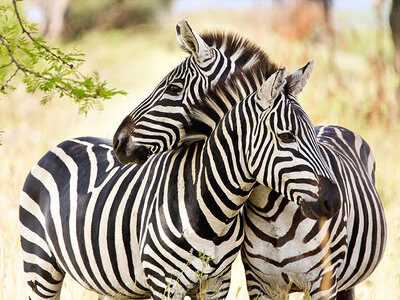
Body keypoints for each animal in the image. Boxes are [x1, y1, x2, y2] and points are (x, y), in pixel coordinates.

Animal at [19, 64, 338, 298]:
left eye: (312, 133)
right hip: (40, 267)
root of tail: (63, 143)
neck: (213, 211)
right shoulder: (164, 284)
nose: (332, 200)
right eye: (286, 136)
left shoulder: (216, 283)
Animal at [111, 22, 384, 298]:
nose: (118, 141)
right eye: (287, 135)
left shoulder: (324, 282)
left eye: (174, 88)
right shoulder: (259, 281)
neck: (273, 213)